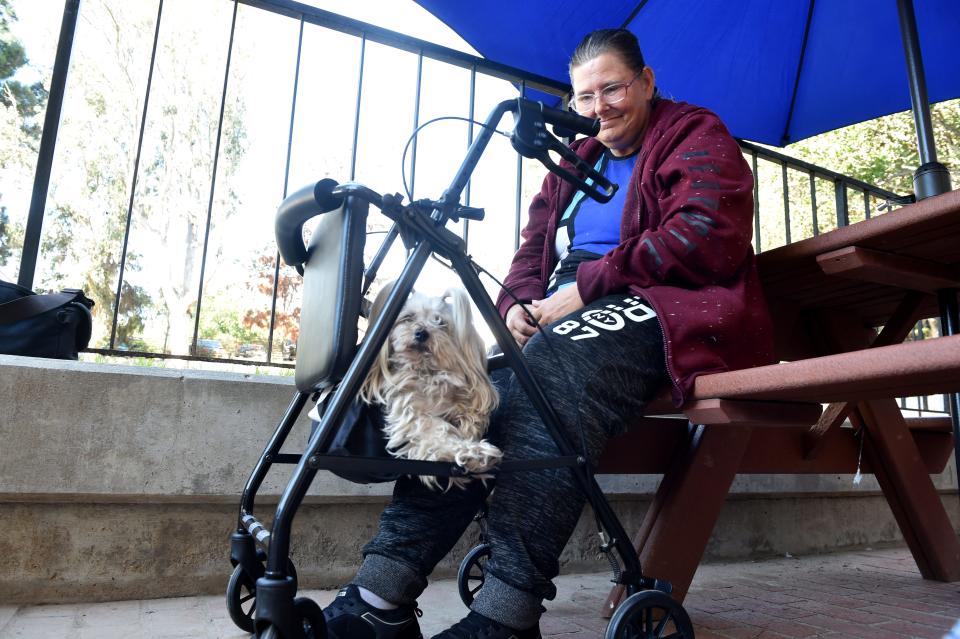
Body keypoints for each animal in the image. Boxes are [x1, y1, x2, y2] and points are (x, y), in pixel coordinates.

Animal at [360, 284, 502, 490]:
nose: (422, 333)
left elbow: (471, 413)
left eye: (440, 322)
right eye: (408, 317)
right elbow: (438, 431)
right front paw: (474, 453)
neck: (426, 372)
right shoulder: (410, 411)